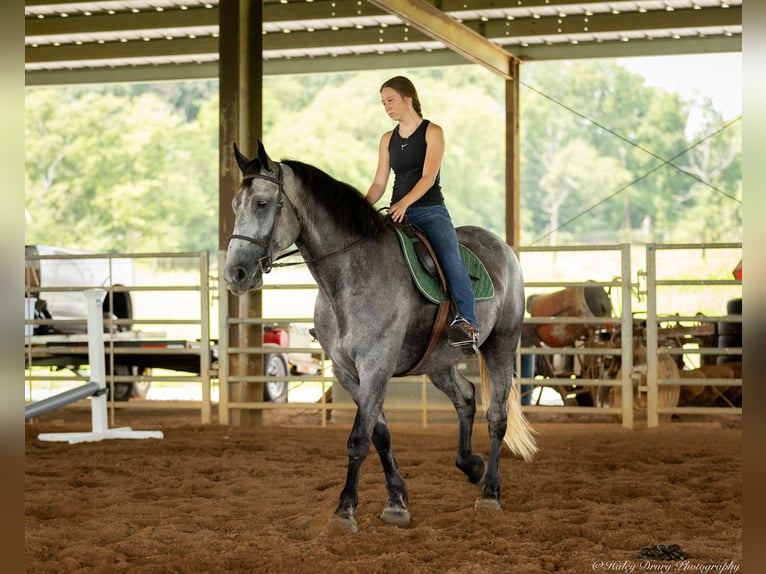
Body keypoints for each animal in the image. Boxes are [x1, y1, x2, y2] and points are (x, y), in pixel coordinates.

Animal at [225, 141, 536, 536]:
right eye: (235, 205)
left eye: (263, 203)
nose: (235, 274)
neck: (350, 274)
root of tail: (502, 247)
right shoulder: (349, 373)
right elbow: (380, 435)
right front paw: (396, 501)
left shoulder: (375, 367)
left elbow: (358, 439)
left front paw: (344, 510)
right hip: (438, 361)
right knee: (465, 397)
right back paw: (471, 466)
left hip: (501, 345)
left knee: (496, 415)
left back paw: (491, 491)